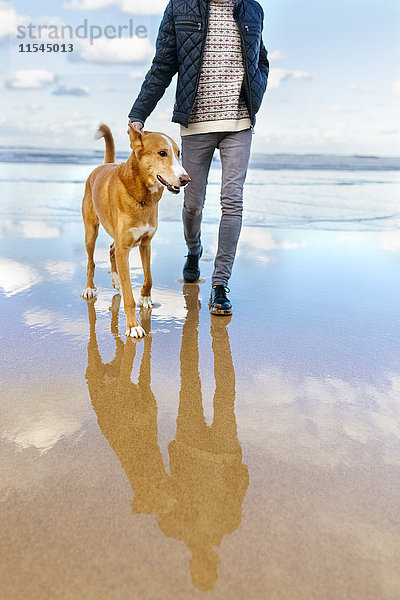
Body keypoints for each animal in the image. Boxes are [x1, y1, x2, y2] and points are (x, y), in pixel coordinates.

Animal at [81, 122, 191, 338]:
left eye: (178, 153)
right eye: (162, 153)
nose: (186, 179)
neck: (142, 197)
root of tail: (102, 166)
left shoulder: (145, 243)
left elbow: (148, 277)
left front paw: (146, 298)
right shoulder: (125, 248)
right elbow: (128, 296)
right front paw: (133, 326)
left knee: (111, 249)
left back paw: (115, 280)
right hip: (91, 231)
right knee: (91, 261)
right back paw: (89, 288)